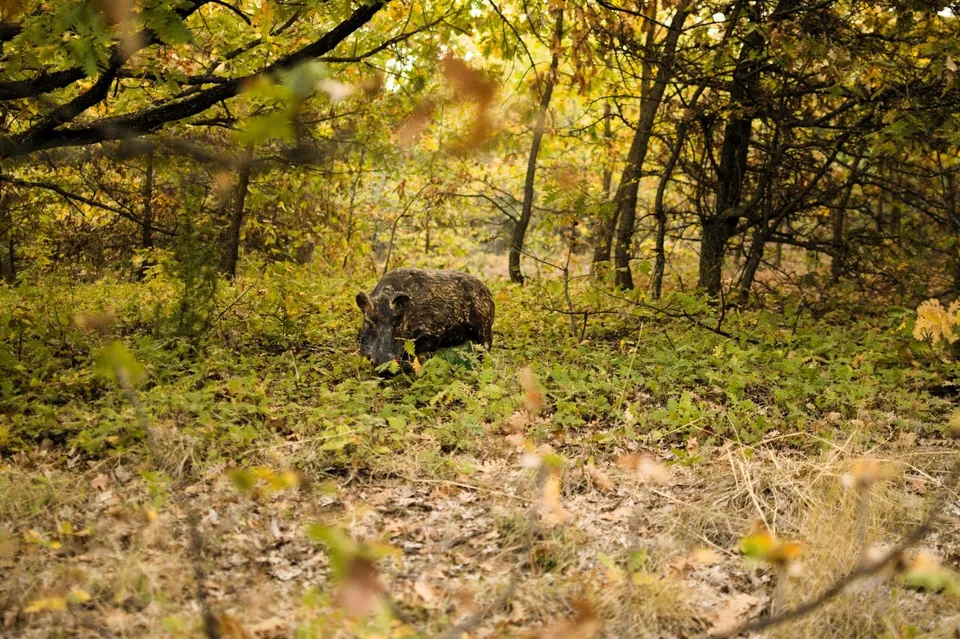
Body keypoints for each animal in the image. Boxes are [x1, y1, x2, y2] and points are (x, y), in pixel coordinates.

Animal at [355, 267, 495, 373]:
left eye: (398, 323)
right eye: (368, 322)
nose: (383, 363)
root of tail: (488, 292)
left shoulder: (429, 335)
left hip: (485, 329)